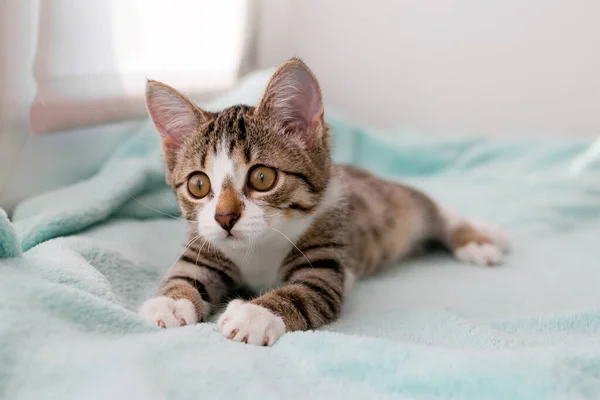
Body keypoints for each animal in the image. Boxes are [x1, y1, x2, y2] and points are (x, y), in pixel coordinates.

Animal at [139, 57, 506, 346]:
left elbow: (304, 292)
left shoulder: (326, 258)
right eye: (199, 185)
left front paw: (254, 314)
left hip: (400, 202)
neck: (259, 248)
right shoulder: (204, 244)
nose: (225, 218)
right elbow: (186, 272)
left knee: (435, 208)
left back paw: (478, 239)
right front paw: (170, 302)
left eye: (262, 178)